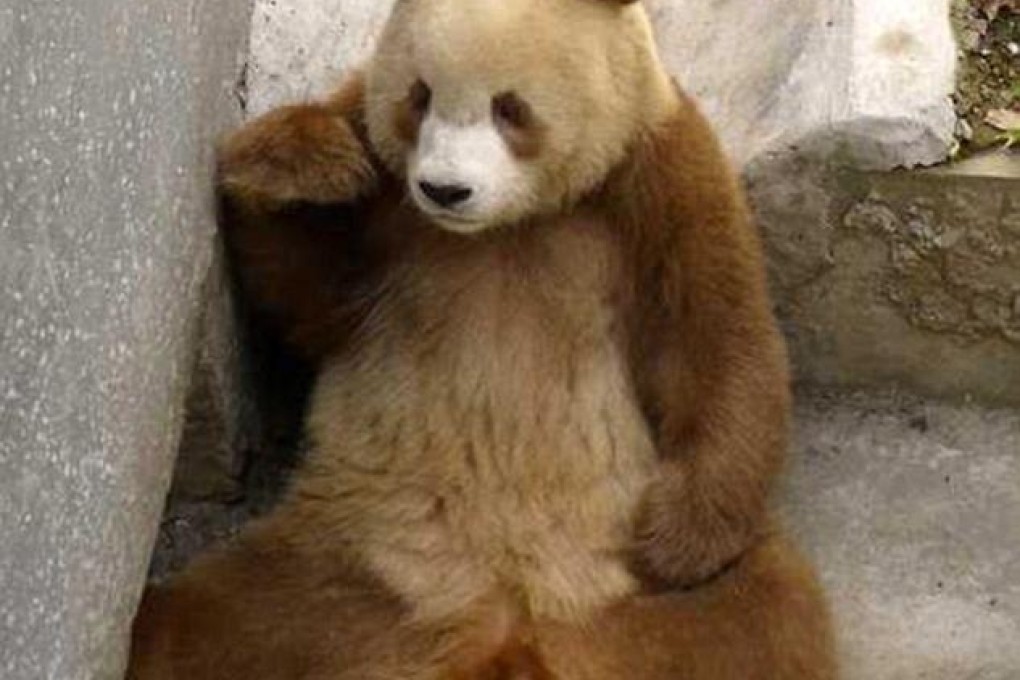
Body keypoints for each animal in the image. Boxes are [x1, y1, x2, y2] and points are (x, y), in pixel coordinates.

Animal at [128, 1, 836, 678]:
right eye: (419, 95)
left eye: (510, 107)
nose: (445, 189)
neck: (508, 224)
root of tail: (495, 626)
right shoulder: (388, 195)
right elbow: (318, 302)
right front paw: (303, 165)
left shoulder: (649, 173)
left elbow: (713, 333)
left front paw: (675, 538)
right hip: (346, 558)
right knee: (216, 621)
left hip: (617, 578)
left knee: (759, 615)